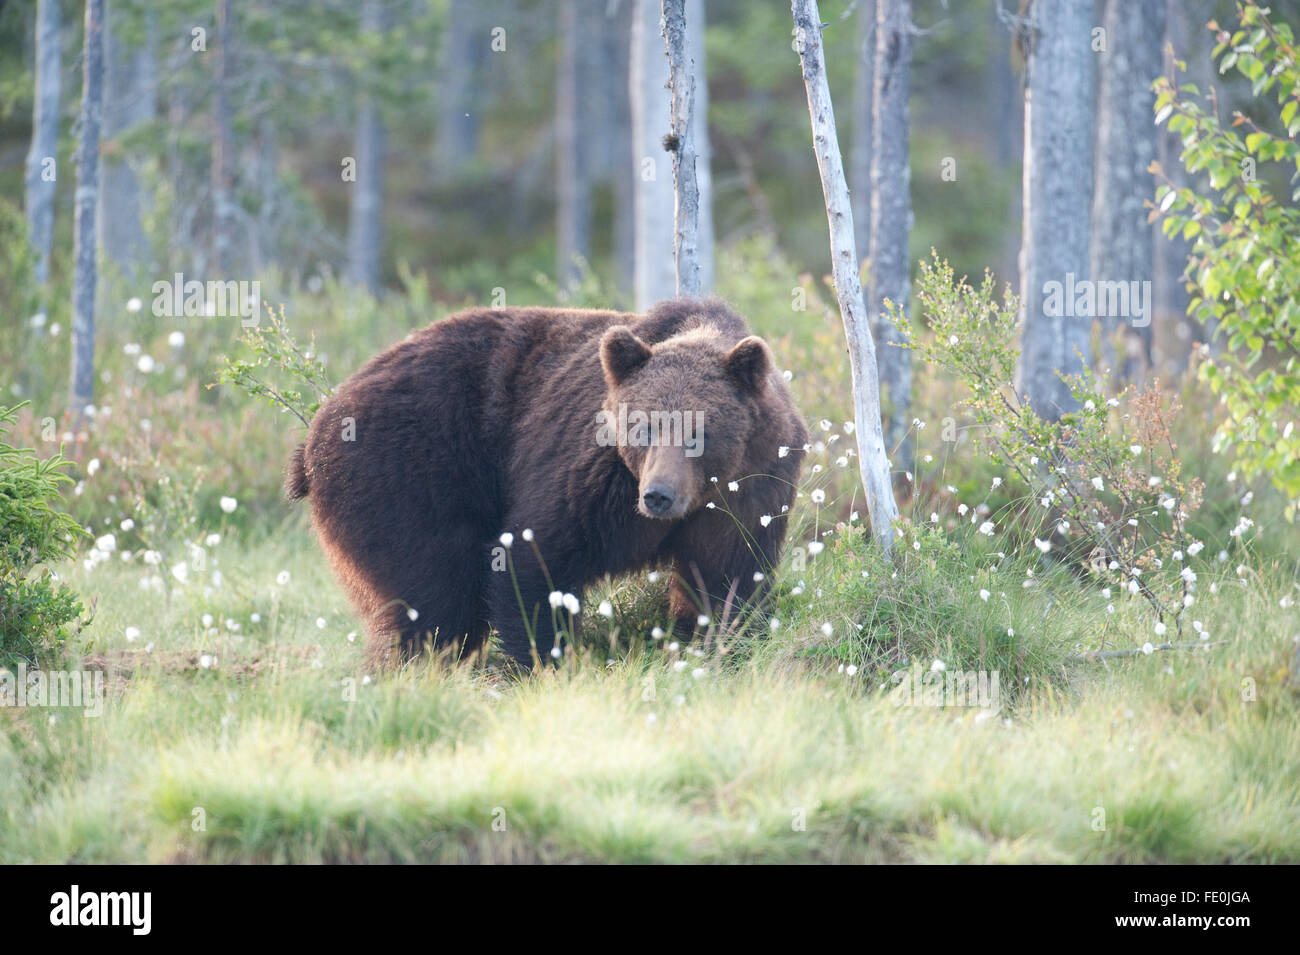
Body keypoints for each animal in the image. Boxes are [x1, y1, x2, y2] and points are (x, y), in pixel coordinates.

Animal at [289, 294, 806, 670]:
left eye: (698, 433)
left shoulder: (753, 488)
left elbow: (726, 579)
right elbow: (535, 557)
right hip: (404, 470)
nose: (658, 496)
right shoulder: (592, 474)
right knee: (432, 595)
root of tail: (319, 424)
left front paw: (718, 646)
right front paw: (543, 661)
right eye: (642, 427)